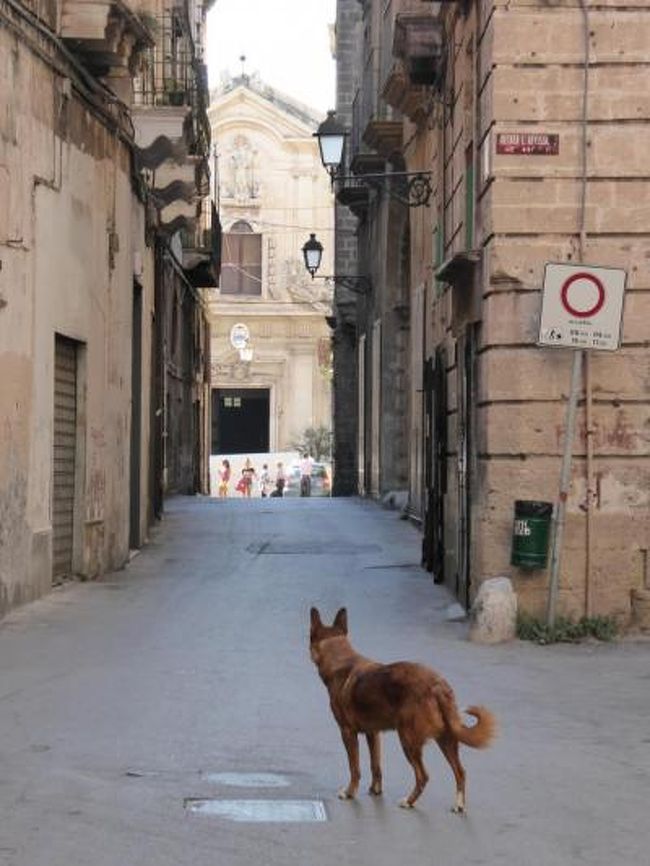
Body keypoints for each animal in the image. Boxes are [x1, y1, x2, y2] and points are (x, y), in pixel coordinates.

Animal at [308, 608, 496, 808]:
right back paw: (459, 805)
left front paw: (350, 792)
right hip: (446, 739)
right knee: (460, 772)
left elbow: (355, 768)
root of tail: (436, 685)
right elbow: (376, 765)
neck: (341, 660)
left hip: (408, 740)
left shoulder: (347, 732)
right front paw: (375, 790)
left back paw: (408, 801)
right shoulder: (373, 733)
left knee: (423, 776)